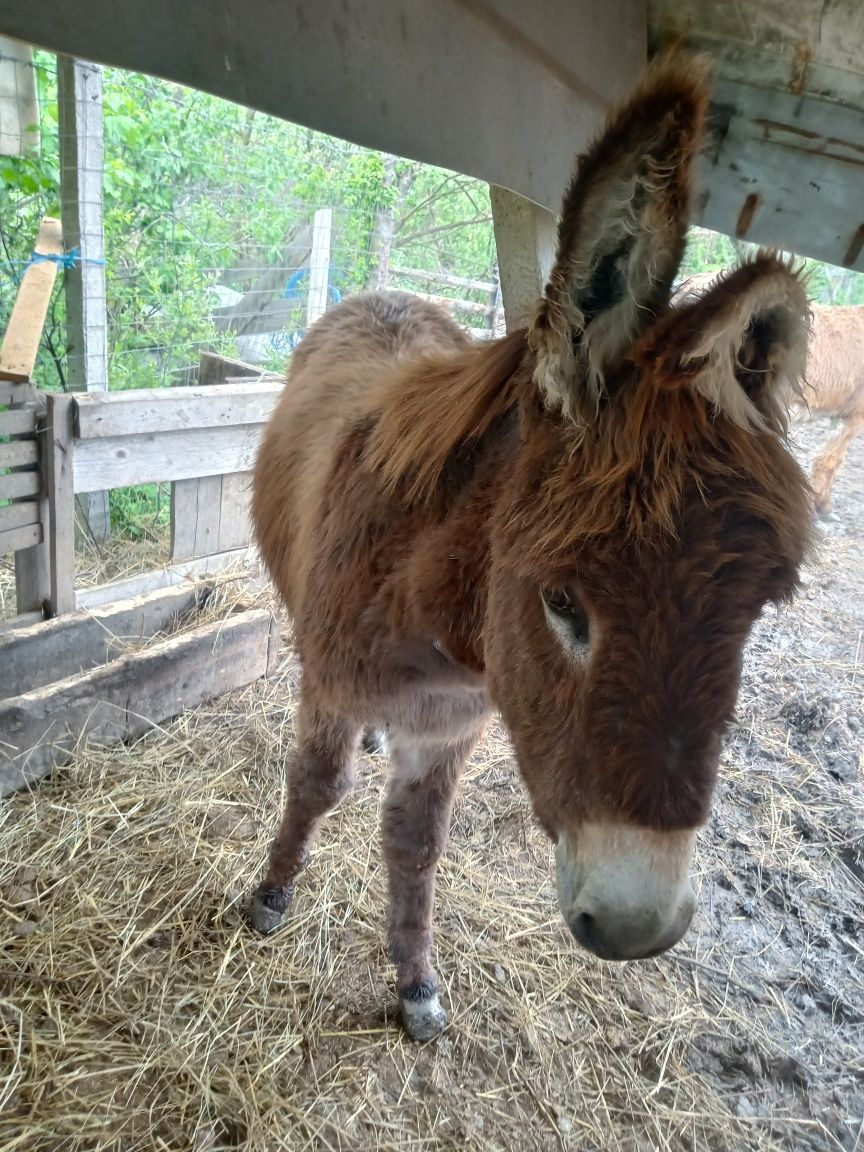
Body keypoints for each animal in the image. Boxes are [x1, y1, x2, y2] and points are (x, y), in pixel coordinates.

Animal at [252, 56, 820, 1046]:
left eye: (753, 616)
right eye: (562, 605)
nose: (637, 927)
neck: (436, 631)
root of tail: (384, 293)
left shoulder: (447, 728)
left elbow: (416, 845)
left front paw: (415, 982)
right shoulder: (331, 686)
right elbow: (314, 786)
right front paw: (273, 894)